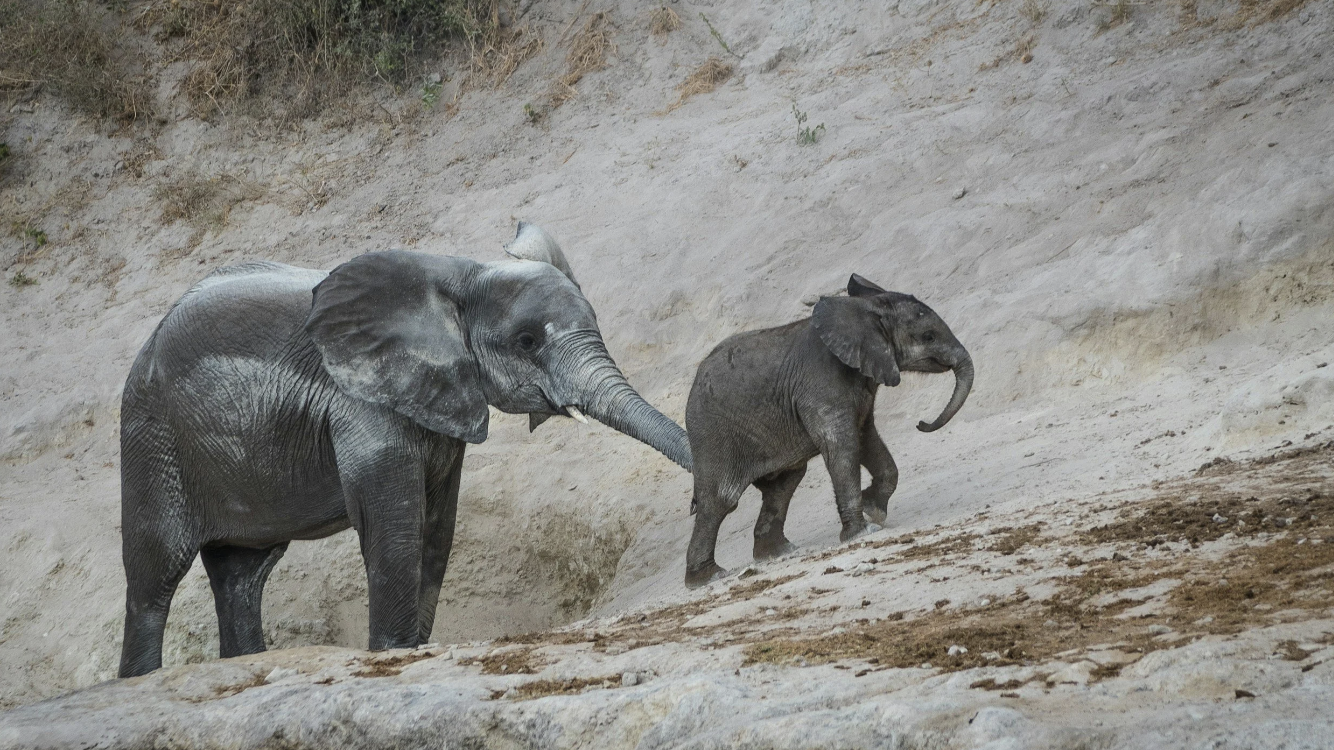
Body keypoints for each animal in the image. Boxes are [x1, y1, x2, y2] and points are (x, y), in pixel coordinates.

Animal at [117, 222, 691, 677]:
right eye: (527, 342)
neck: (463, 275)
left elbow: (436, 525)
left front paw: (412, 647)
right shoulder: (361, 399)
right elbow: (393, 522)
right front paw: (391, 652)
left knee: (242, 573)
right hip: (152, 437)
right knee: (154, 575)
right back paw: (140, 677)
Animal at [683, 274, 972, 587]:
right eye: (928, 336)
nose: (921, 423)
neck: (864, 308)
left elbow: (866, 438)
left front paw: (874, 511)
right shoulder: (821, 383)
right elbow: (842, 446)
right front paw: (864, 532)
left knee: (784, 483)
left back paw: (779, 552)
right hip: (712, 434)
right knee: (721, 499)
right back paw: (709, 577)